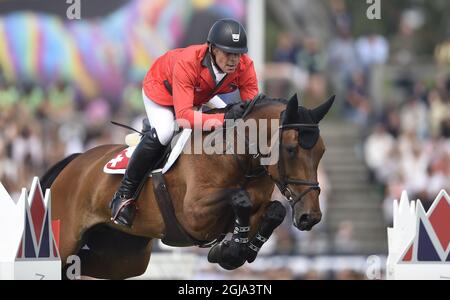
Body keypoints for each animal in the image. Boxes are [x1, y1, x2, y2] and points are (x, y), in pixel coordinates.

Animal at [39, 94, 334, 278]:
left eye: (322, 151)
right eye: (291, 149)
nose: (311, 217)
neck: (237, 156)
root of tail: (74, 163)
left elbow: (275, 211)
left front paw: (232, 251)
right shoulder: (194, 215)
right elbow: (240, 198)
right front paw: (229, 250)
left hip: (124, 257)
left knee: (78, 266)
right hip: (65, 240)